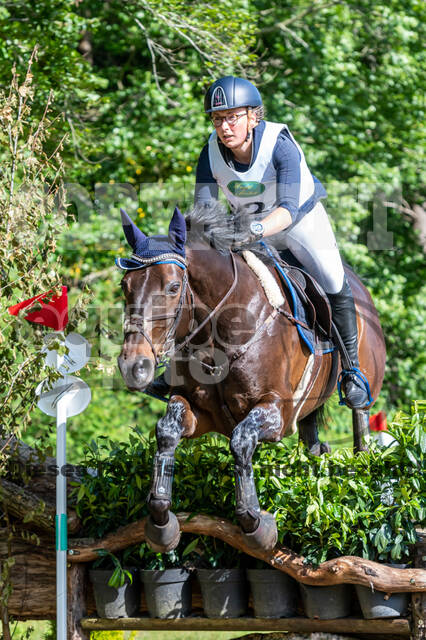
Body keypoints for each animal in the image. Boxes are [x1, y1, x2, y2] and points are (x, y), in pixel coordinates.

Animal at [117, 203, 386, 552]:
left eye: (173, 288)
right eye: (125, 286)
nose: (133, 366)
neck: (217, 335)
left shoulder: (277, 412)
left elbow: (241, 440)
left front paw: (257, 525)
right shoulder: (200, 412)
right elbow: (167, 430)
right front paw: (162, 522)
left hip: (363, 384)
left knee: (360, 416)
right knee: (312, 439)